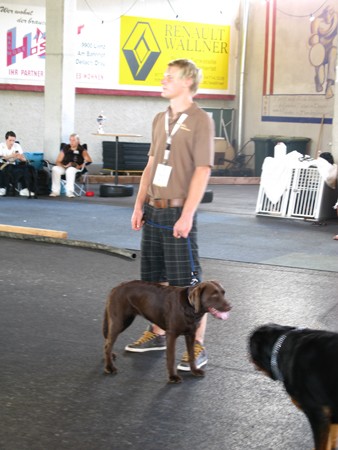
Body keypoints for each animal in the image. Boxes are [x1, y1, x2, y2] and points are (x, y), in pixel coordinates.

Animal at [101, 282, 231, 384]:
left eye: (223, 293)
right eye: (214, 295)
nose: (230, 306)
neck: (189, 307)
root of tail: (116, 287)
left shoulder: (191, 334)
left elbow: (191, 355)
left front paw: (194, 370)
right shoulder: (171, 335)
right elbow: (171, 357)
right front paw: (173, 377)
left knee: (108, 341)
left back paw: (109, 357)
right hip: (120, 321)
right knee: (108, 343)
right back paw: (109, 367)